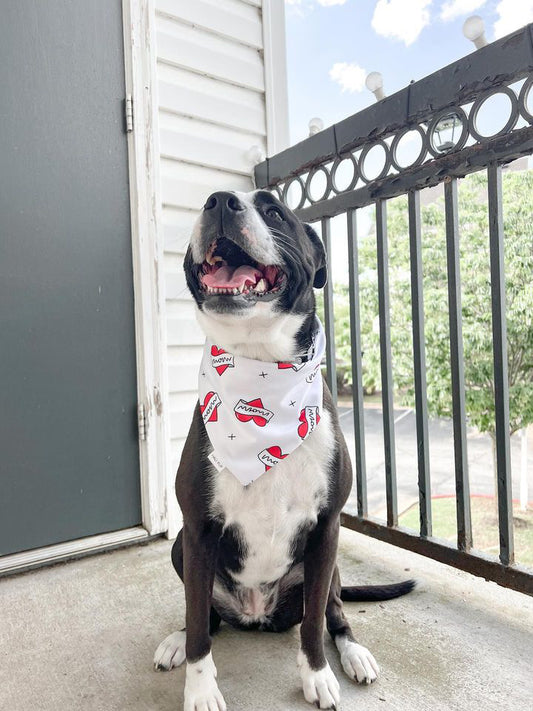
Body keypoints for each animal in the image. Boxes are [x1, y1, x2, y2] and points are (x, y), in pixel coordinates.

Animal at [156, 191, 414, 711]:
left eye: (274, 211)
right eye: (207, 202)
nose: (219, 201)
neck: (260, 368)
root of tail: (258, 615)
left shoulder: (327, 529)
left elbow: (314, 624)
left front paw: (317, 676)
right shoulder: (197, 530)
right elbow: (197, 628)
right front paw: (200, 688)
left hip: (328, 567)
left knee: (334, 612)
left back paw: (354, 653)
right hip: (182, 549)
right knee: (206, 618)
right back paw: (176, 640)